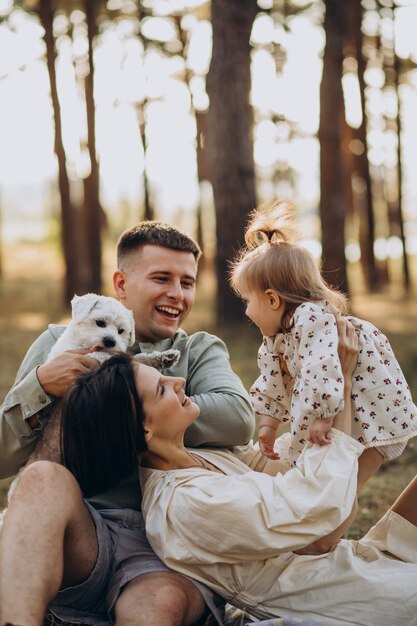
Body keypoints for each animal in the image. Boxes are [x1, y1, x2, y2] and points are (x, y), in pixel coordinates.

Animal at [0, 292, 179, 520]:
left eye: (121, 331)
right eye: (100, 322)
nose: (110, 341)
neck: (81, 341)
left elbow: (137, 358)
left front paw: (163, 358)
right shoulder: (76, 359)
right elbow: (111, 356)